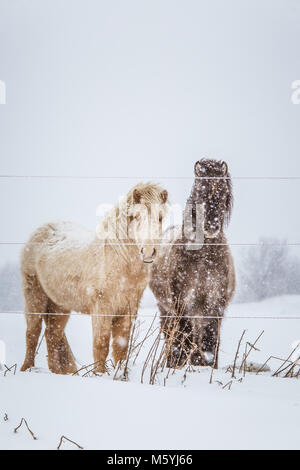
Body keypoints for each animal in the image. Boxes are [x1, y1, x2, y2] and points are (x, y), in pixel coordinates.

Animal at [21, 183, 169, 374]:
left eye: (160, 217)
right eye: (136, 216)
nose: (149, 252)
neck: (120, 260)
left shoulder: (128, 308)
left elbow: (121, 347)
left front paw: (119, 374)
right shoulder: (102, 306)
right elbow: (101, 344)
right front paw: (100, 374)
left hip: (59, 304)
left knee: (53, 334)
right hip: (34, 294)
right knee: (33, 332)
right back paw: (27, 369)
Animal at [151, 160, 236, 370]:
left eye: (223, 192)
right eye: (199, 192)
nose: (211, 226)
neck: (204, 261)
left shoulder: (215, 304)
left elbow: (210, 339)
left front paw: (207, 366)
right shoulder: (182, 303)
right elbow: (185, 337)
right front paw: (184, 365)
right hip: (165, 308)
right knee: (171, 336)